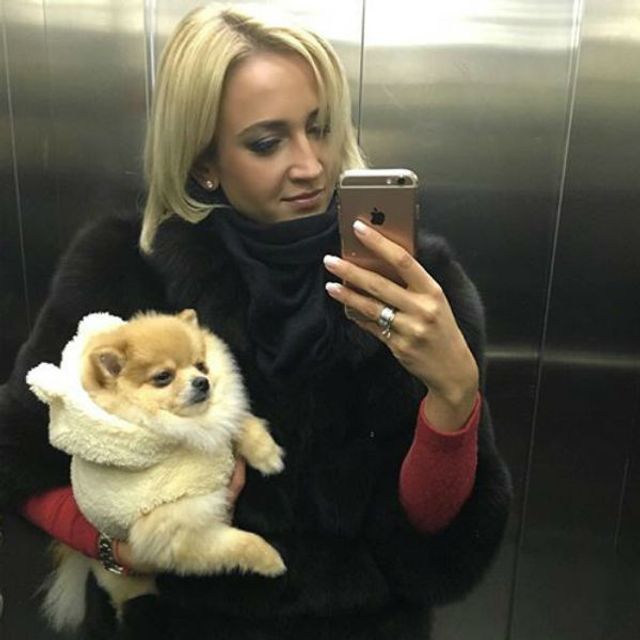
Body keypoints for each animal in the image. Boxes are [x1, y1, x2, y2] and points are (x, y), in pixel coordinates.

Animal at [27, 309, 285, 630]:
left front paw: (267, 454)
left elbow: (238, 420)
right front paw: (269, 558)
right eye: (163, 377)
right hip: (129, 581)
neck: (179, 432)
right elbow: (236, 543)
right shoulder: (176, 530)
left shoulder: (212, 427)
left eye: (201, 365)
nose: (203, 381)